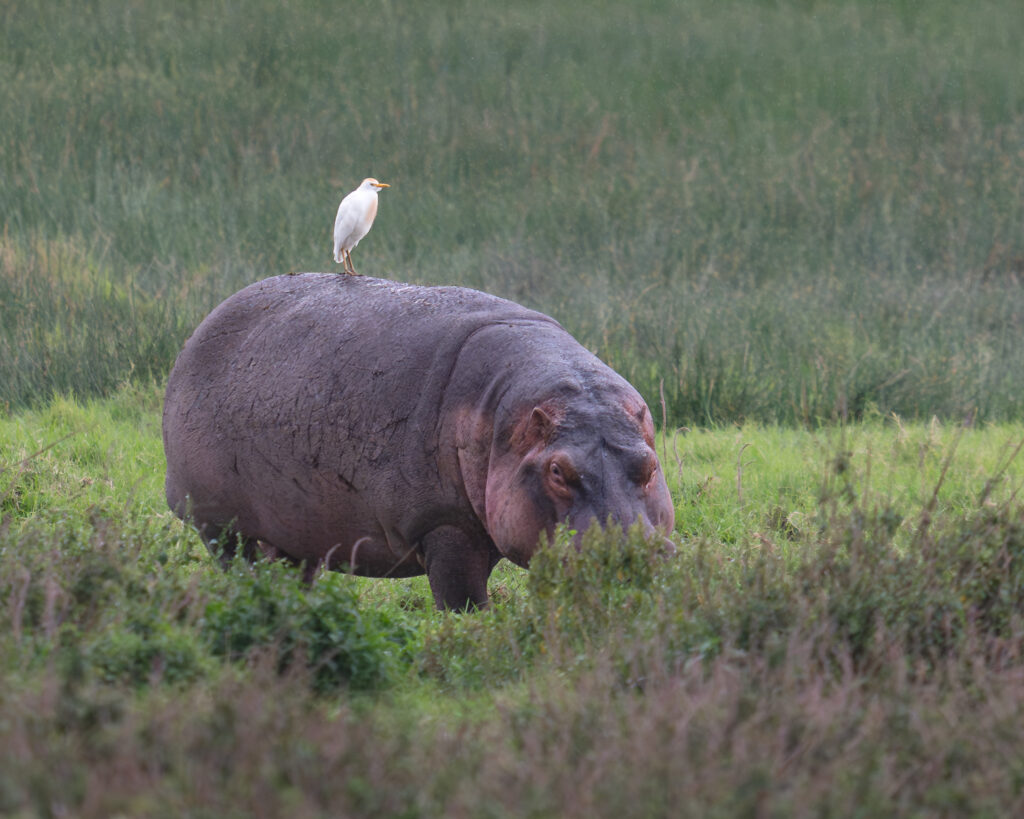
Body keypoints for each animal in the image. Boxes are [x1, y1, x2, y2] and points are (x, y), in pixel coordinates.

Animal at [162, 273, 674, 610]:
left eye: (649, 465)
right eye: (557, 471)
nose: (627, 552)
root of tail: (196, 336)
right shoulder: (443, 525)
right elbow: (464, 603)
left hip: (294, 531)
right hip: (219, 525)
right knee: (241, 568)